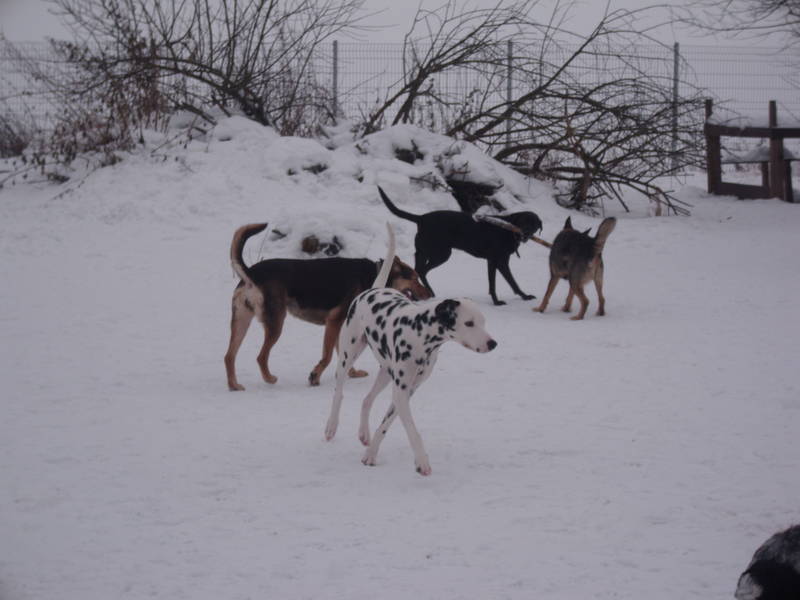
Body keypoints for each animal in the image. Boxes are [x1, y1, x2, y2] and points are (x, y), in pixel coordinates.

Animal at [224, 223, 430, 391]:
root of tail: (251, 273)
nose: (430, 294)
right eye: (414, 278)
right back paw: (269, 378)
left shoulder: (343, 326)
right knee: (261, 357)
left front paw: (352, 373)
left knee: (229, 356)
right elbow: (328, 356)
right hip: (276, 323)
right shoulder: (334, 322)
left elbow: (343, 355)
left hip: (241, 321)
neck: (375, 274)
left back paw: (234, 385)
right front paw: (315, 376)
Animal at [324, 223, 497, 476]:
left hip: (385, 374)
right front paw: (422, 461)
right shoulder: (401, 393)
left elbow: (385, 425)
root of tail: (373, 289)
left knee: (366, 400)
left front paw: (371, 453)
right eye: (468, 323)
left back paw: (364, 433)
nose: (492, 344)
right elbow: (414, 432)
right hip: (348, 356)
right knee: (338, 392)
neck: (420, 335)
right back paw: (331, 426)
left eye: (483, 322)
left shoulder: (407, 391)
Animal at [378, 186, 542, 306]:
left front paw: (523, 296)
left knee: (419, 269)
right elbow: (504, 282)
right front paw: (499, 301)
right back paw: (429, 292)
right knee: (422, 270)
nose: (526, 233)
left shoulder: (496, 262)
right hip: (442, 253)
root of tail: (421, 218)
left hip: (424, 252)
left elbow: (503, 283)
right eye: (523, 222)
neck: (507, 229)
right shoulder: (498, 261)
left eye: (534, 224)